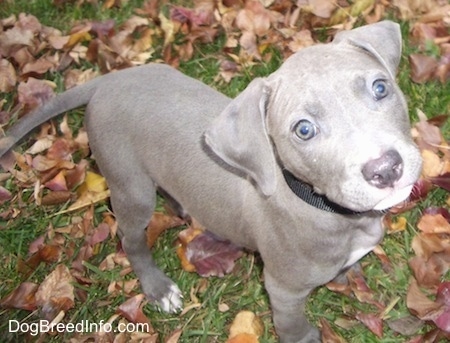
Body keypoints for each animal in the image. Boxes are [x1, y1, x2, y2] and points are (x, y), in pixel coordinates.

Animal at [0, 20, 422, 342]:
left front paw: (350, 274)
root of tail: (109, 80)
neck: (323, 207)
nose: (386, 168)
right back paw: (158, 288)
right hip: (129, 186)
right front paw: (306, 336)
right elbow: (292, 326)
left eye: (380, 87)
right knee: (130, 238)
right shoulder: (282, 290)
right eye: (303, 129)